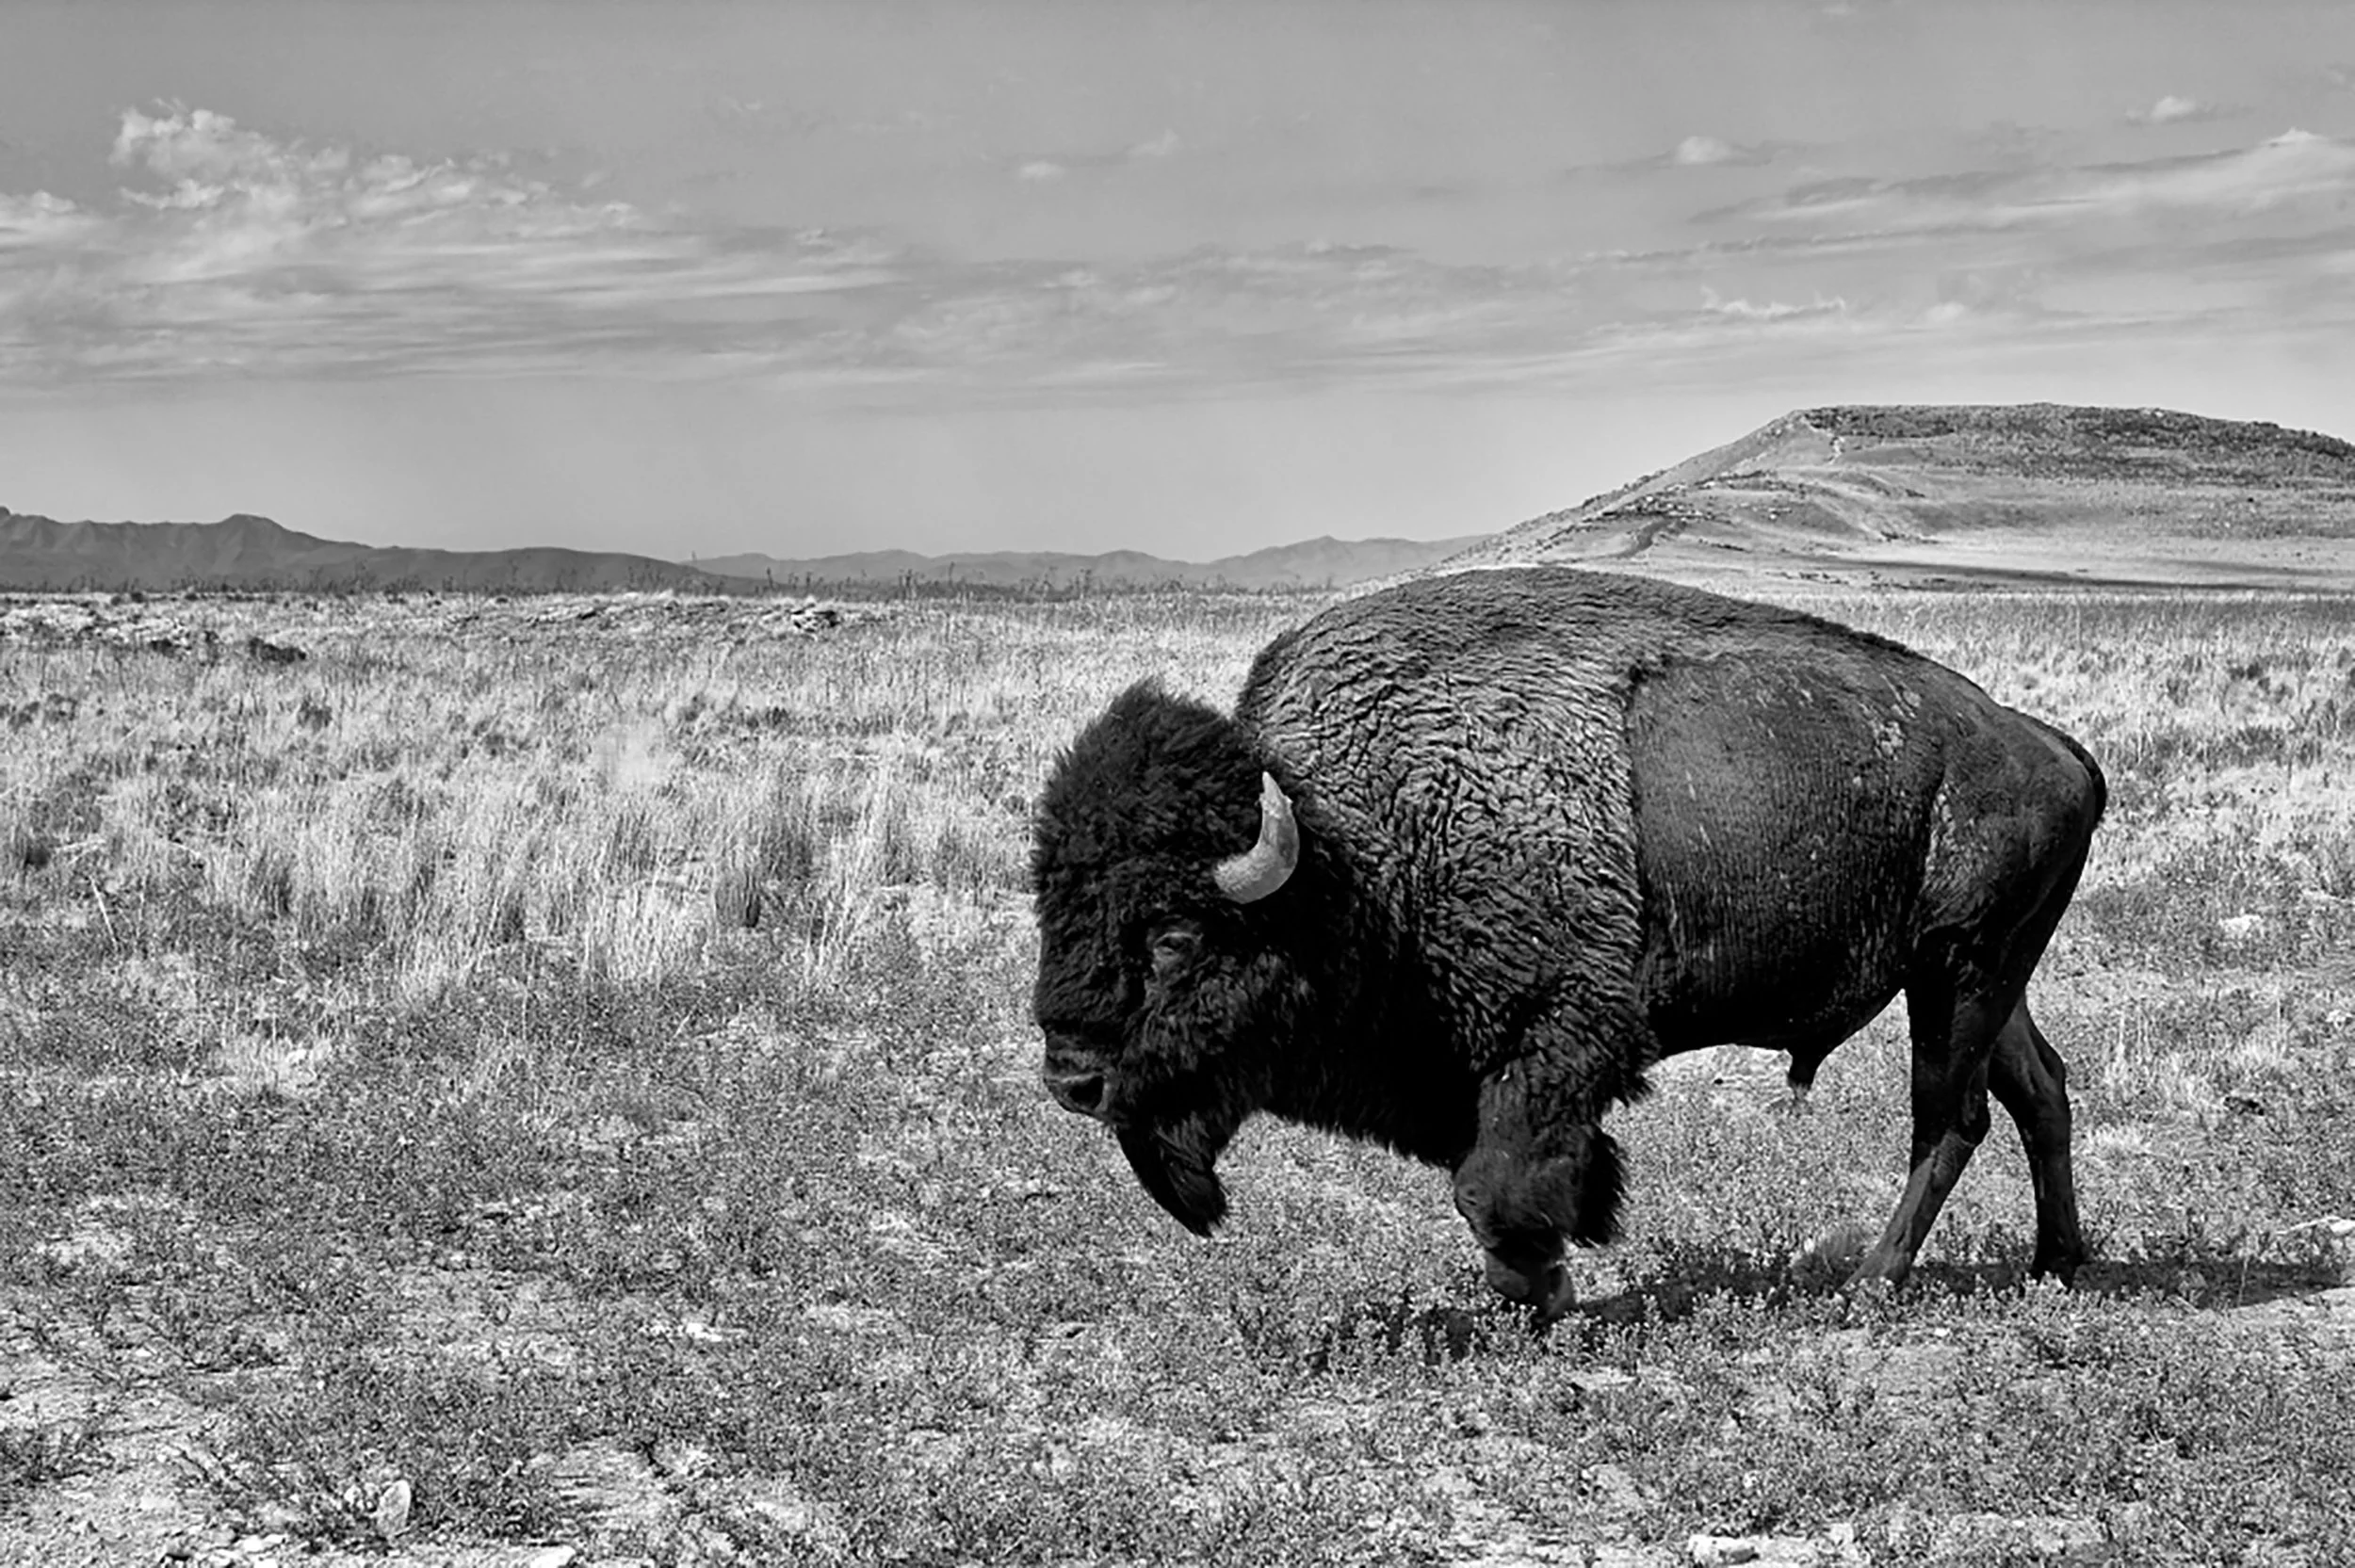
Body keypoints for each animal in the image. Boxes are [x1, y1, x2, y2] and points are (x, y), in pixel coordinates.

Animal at [1031, 567, 2104, 1318]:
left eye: (1174, 934)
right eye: (1052, 905)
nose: (1071, 1076)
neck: (1356, 848)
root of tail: (2054, 746)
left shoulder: (1553, 1034)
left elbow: (1494, 1184)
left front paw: (1544, 1291)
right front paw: (1566, 1257)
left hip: (1960, 968)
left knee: (1950, 1118)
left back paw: (1872, 1281)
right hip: (1987, 975)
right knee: (2039, 1090)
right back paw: (2056, 1262)